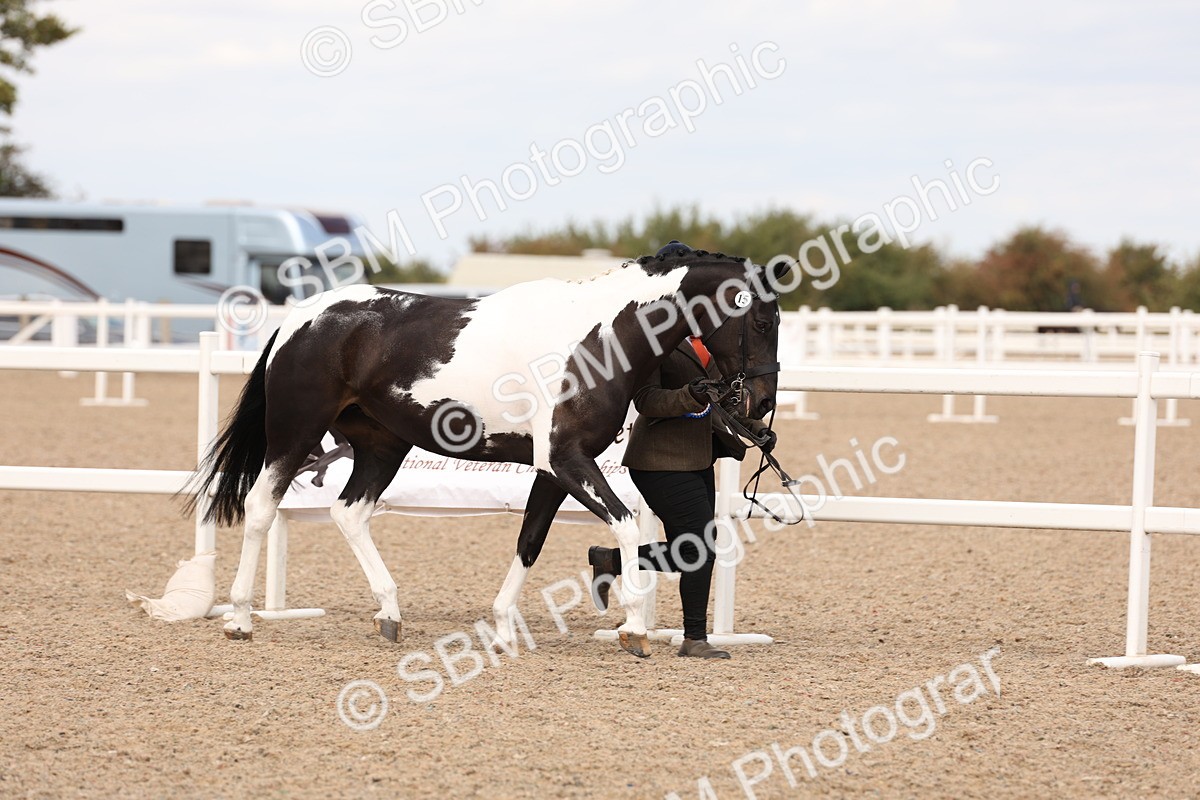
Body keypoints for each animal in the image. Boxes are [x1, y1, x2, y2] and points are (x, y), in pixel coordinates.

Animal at [188, 249, 788, 658]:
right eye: (762, 321)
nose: (761, 404)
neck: (599, 339)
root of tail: (300, 318)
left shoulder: (553, 470)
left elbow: (530, 541)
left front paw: (502, 630)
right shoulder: (568, 462)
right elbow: (623, 524)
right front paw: (635, 628)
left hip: (382, 445)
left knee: (349, 512)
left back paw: (389, 614)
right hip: (295, 433)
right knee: (261, 508)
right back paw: (240, 619)